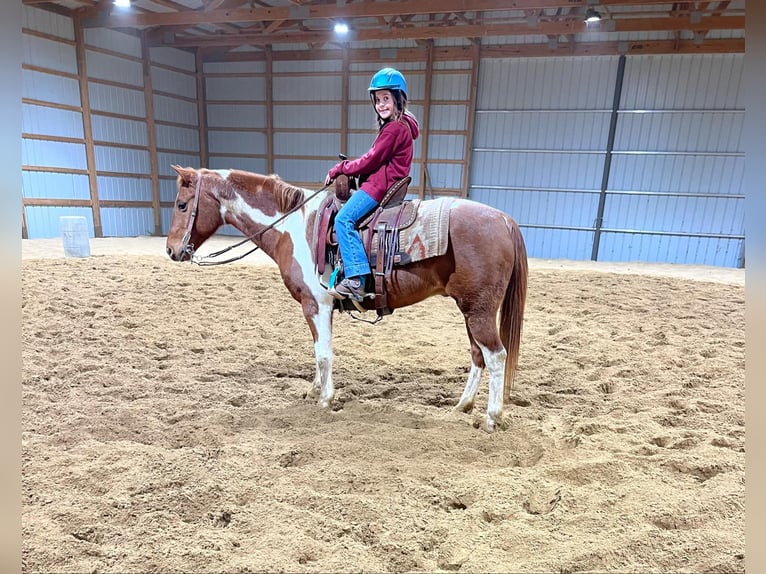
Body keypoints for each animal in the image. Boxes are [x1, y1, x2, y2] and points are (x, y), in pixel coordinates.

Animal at [166, 166, 528, 432]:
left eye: (182, 204)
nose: (171, 250)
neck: (296, 227)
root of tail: (505, 220)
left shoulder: (316, 305)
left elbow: (324, 355)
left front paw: (325, 400)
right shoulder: (319, 309)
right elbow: (318, 353)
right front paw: (314, 390)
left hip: (479, 311)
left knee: (496, 356)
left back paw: (491, 418)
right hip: (469, 309)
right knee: (478, 355)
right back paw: (462, 406)